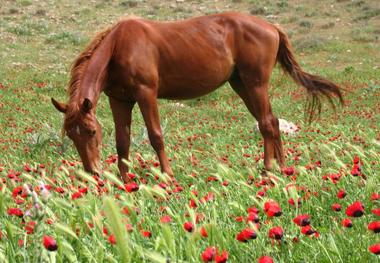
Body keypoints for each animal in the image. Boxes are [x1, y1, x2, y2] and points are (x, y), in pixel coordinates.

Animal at [52, 11, 342, 182]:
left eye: (91, 131)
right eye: (71, 135)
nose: (92, 173)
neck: (119, 47)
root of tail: (271, 26)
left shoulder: (146, 93)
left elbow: (155, 135)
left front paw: (167, 177)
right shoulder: (120, 99)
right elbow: (122, 141)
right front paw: (126, 181)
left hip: (256, 83)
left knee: (266, 124)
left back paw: (268, 170)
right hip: (242, 85)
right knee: (271, 120)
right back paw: (282, 169)